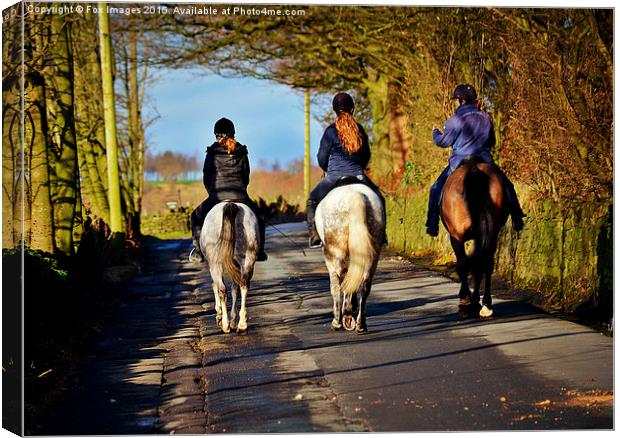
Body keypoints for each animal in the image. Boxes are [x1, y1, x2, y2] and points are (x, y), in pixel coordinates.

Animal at [201, 203, 260, 336]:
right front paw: (233, 321)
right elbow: (235, 290)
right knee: (243, 286)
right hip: (247, 259)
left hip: (215, 264)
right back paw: (242, 325)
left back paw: (225, 325)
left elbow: (216, 287)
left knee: (222, 289)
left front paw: (220, 315)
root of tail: (231, 205)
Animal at [318, 184, 386, 332]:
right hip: (372, 256)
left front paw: (343, 317)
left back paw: (342, 318)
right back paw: (360, 324)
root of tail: (355, 195)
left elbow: (338, 285)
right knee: (365, 285)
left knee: (339, 284)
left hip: (335, 254)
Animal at [440, 159, 508, 316]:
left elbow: (463, 264)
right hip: (491, 234)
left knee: (464, 264)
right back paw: (486, 304)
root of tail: (474, 170)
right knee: (486, 263)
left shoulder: (456, 237)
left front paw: (467, 300)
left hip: (457, 235)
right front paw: (476, 301)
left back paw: (467, 301)